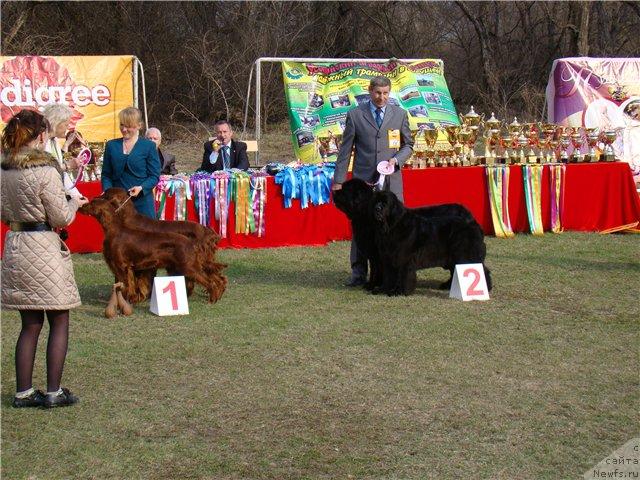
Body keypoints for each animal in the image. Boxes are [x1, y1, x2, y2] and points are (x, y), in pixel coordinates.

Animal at [79, 195, 226, 304]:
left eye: (92, 203)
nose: (81, 205)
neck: (114, 230)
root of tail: (191, 243)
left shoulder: (122, 266)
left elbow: (126, 285)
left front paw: (125, 302)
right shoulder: (131, 268)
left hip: (188, 266)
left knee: (211, 281)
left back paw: (213, 298)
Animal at [336, 178, 480, 292]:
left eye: (345, 189)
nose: (334, 191)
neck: (366, 215)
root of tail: (469, 215)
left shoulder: (377, 254)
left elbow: (376, 270)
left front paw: (372, 285)